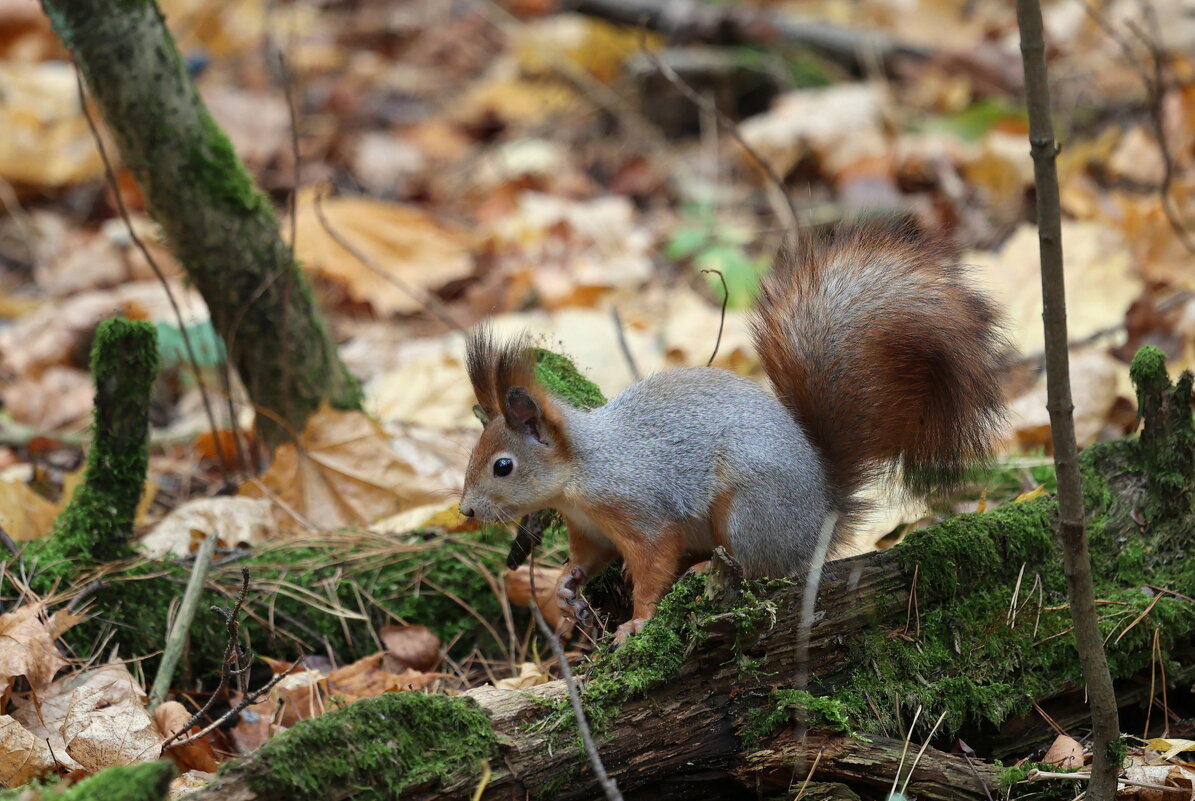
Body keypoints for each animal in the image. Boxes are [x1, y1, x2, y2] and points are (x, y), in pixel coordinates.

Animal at [456, 217, 1008, 645]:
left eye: (503, 466)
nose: (465, 511)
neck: (582, 472)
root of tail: (822, 511)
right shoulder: (589, 529)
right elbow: (588, 559)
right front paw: (566, 588)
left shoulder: (641, 510)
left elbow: (652, 566)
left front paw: (637, 622)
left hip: (748, 510)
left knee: (767, 567)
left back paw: (707, 570)